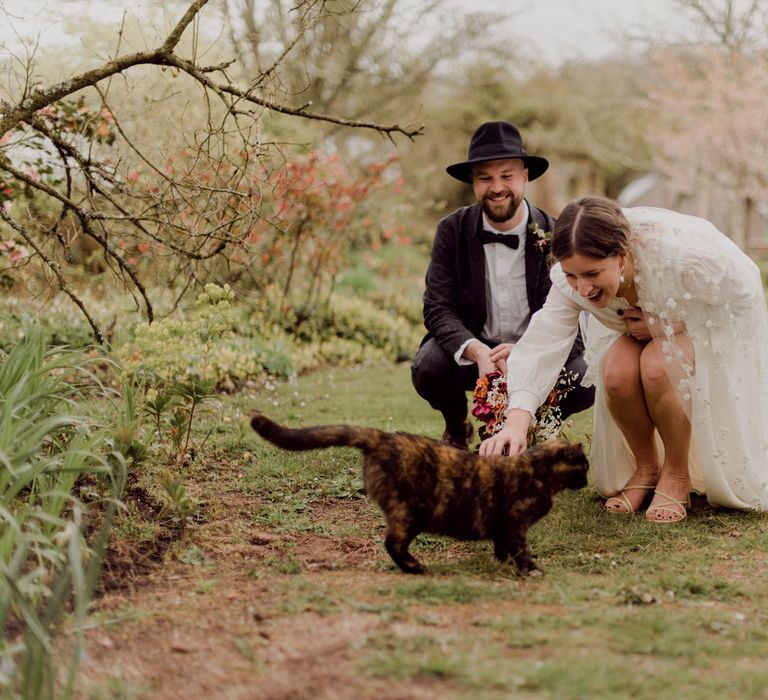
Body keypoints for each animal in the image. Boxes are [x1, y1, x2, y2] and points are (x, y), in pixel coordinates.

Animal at [252, 412, 588, 576]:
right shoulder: (514, 524)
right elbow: (519, 549)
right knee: (392, 543)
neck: (537, 470)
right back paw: (416, 568)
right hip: (409, 512)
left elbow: (502, 547)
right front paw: (531, 570)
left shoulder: (503, 529)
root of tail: (384, 437)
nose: (586, 480)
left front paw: (503, 564)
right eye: (583, 466)